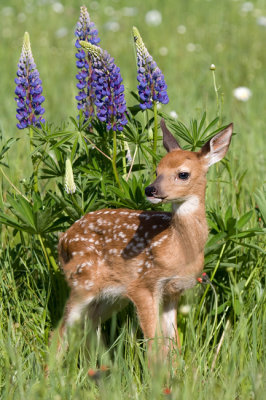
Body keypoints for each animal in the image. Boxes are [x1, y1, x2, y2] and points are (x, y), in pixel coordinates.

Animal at [57, 119, 233, 356]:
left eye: (183, 174)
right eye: (157, 170)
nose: (151, 190)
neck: (179, 246)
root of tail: (63, 240)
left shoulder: (172, 291)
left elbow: (173, 342)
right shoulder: (143, 285)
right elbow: (154, 343)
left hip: (110, 295)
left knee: (88, 326)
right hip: (83, 281)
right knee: (60, 331)